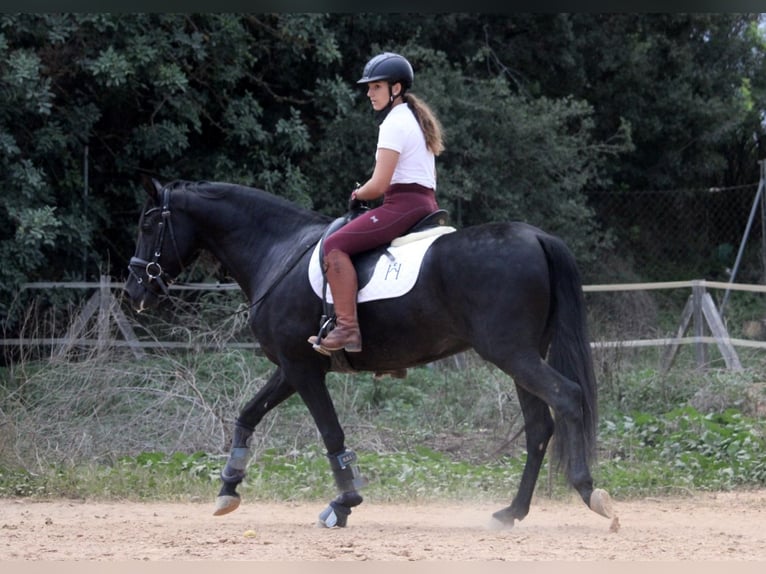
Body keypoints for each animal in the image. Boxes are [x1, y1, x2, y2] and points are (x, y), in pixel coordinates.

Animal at [126, 177, 616, 532]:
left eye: (148, 225)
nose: (134, 290)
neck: (279, 251)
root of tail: (536, 236)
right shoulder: (292, 367)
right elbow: (248, 413)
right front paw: (228, 487)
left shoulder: (303, 370)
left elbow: (330, 432)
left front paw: (344, 503)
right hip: (521, 357)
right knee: (539, 427)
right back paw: (511, 512)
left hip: (512, 353)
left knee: (567, 398)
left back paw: (589, 492)